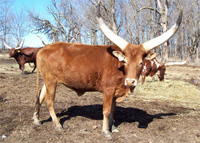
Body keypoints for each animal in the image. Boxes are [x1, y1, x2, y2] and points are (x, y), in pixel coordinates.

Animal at [32, 2, 183, 138]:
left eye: (141, 62)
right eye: (125, 61)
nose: (131, 82)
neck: (120, 69)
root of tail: (43, 48)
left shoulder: (116, 92)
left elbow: (113, 111)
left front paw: (113, 127)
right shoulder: (108, 90)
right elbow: (106, 110)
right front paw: (106, 131)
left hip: (47, 81)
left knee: (40, 96)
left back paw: (36, 119)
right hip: (51, 81)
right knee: (49, 101)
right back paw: (57, 125)